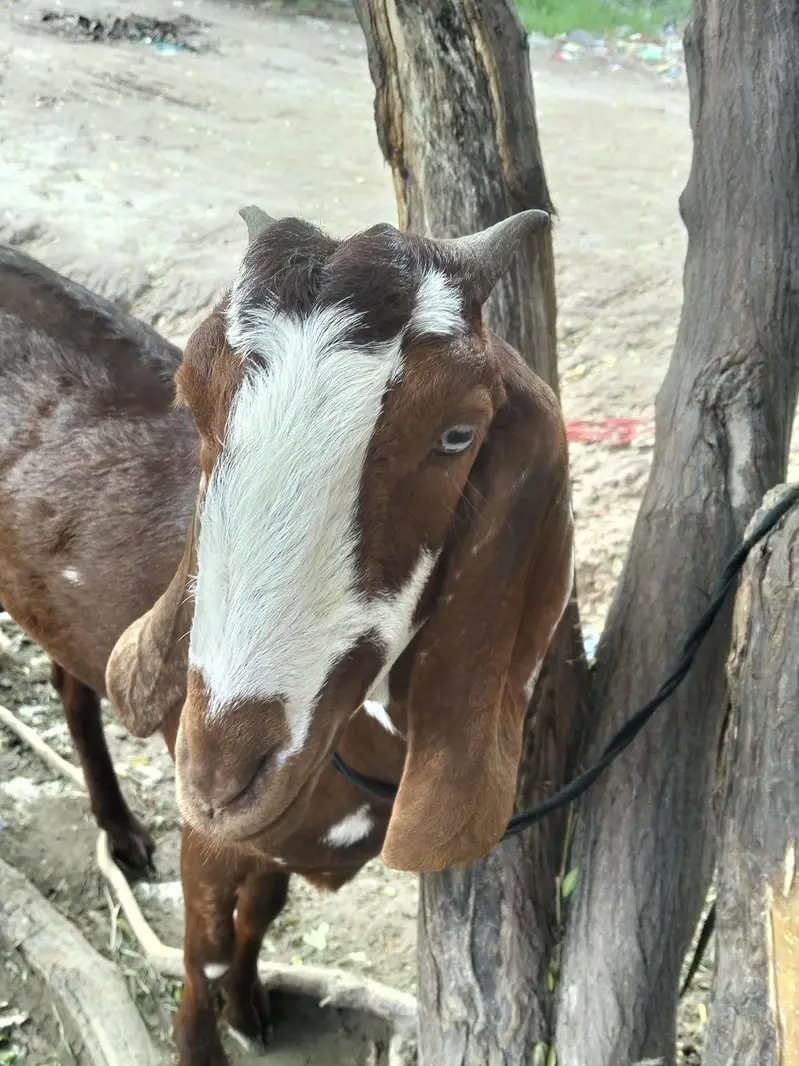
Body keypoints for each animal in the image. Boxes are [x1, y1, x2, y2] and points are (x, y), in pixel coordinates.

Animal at [105, 207, 575, 1065]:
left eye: (457, 435)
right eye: (190, 399)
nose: (220, 777)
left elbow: (258, 915)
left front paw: (250, 1008)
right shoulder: (212, 840)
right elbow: (203, 944)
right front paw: (202, 1037)